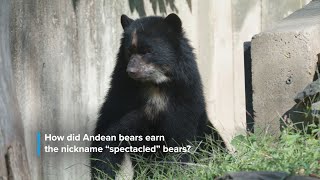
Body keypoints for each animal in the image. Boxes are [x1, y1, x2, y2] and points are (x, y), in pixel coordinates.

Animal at [90, 13, 225, 179]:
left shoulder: (184, 100)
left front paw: (174, 172)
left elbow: (179, 139)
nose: (131, 71)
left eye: (147, 51)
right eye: (129, 51)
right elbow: (109, 134)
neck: (154, 85)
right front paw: (102, 174)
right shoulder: (122, 96)